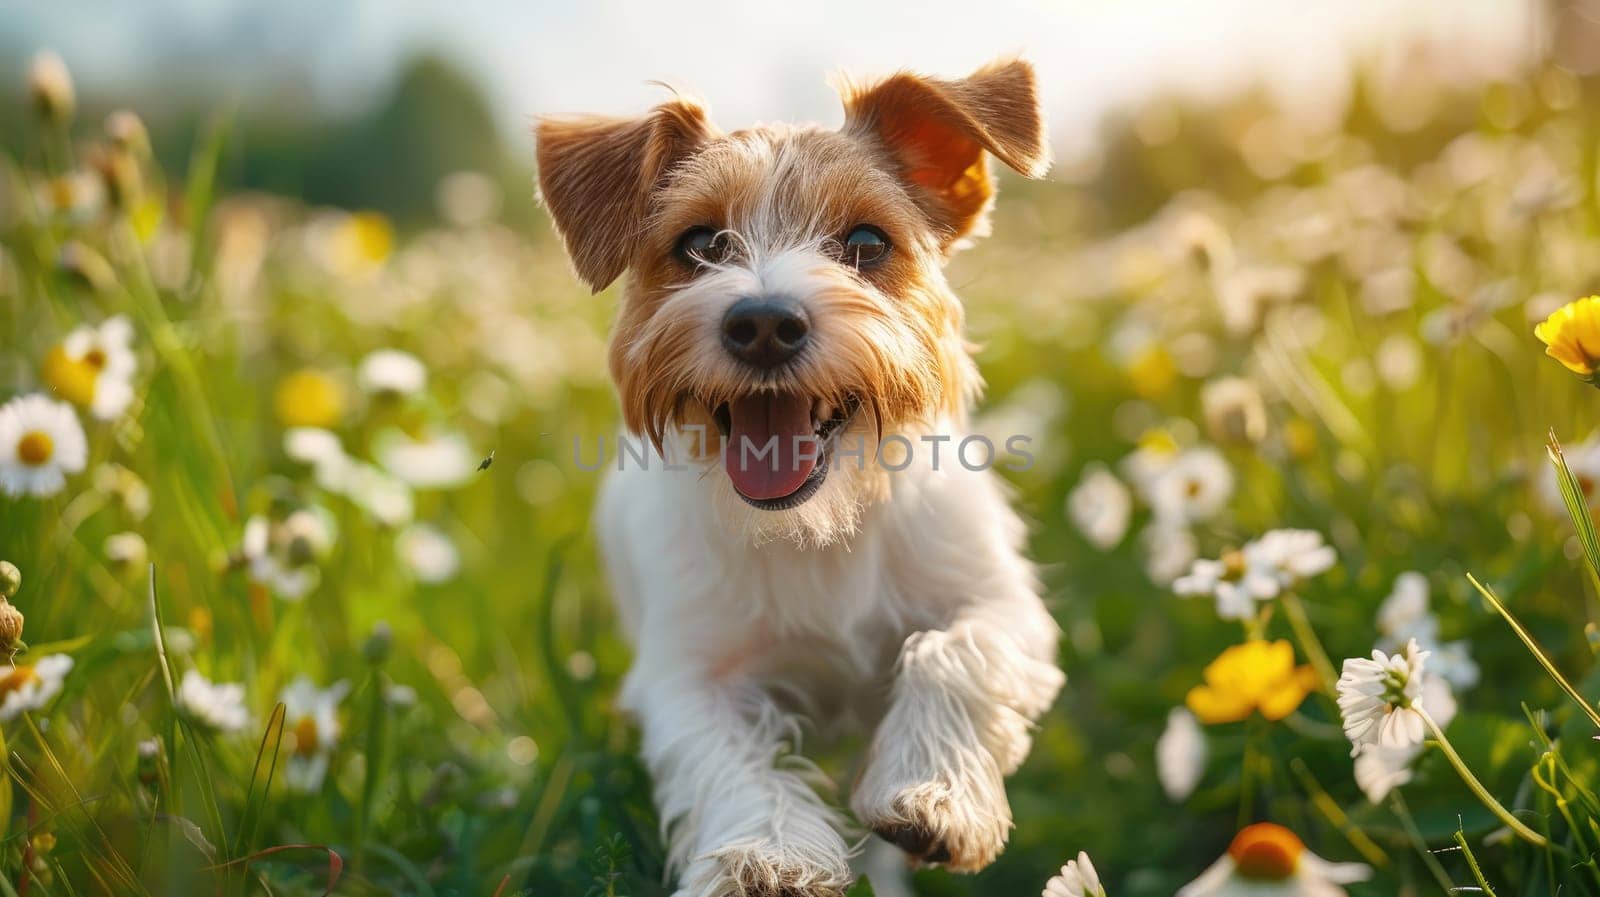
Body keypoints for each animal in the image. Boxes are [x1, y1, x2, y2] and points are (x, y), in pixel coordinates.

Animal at [534, 59, 1062, 889]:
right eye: (699, 243)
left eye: (867, 242)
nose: (763, 323)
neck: (820, 525)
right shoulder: (692, 676)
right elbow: (731, 762)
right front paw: (766, 854)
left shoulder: (998, 603)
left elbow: (955, 654)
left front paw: (933, 789)